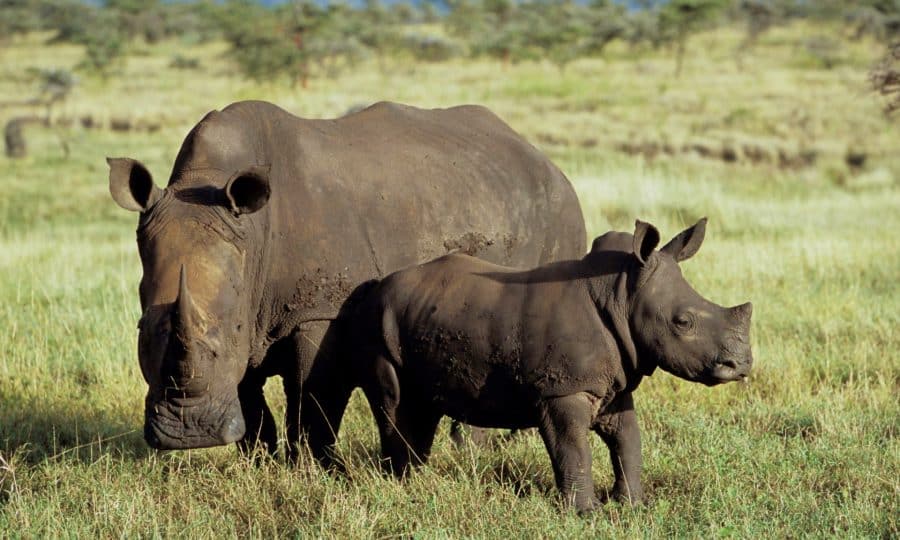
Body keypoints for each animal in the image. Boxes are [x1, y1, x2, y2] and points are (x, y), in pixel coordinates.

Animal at [107, 100, 586, 464]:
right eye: (142, 331)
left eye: (234, 329)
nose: (189, 435)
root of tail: (546, 159)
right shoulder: (245, 297)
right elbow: (249, 397)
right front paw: (257, 465)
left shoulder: (319, 311)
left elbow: (313, 396)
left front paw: (311, 470)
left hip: (559, 211)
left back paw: (471, 453)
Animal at [342, 218, 752, 512]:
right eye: (682, 322)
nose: (742, 364)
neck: (622, 293)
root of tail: (375, 287)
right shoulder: (562, 389)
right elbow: (574, 448)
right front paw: (586, 513)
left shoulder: (614, 383)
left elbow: (628, 440)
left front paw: (634, 505)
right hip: (378, 326)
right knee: (396, 404)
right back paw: (401, 485)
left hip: (416, 316)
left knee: (421, 405)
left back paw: (417, 479)